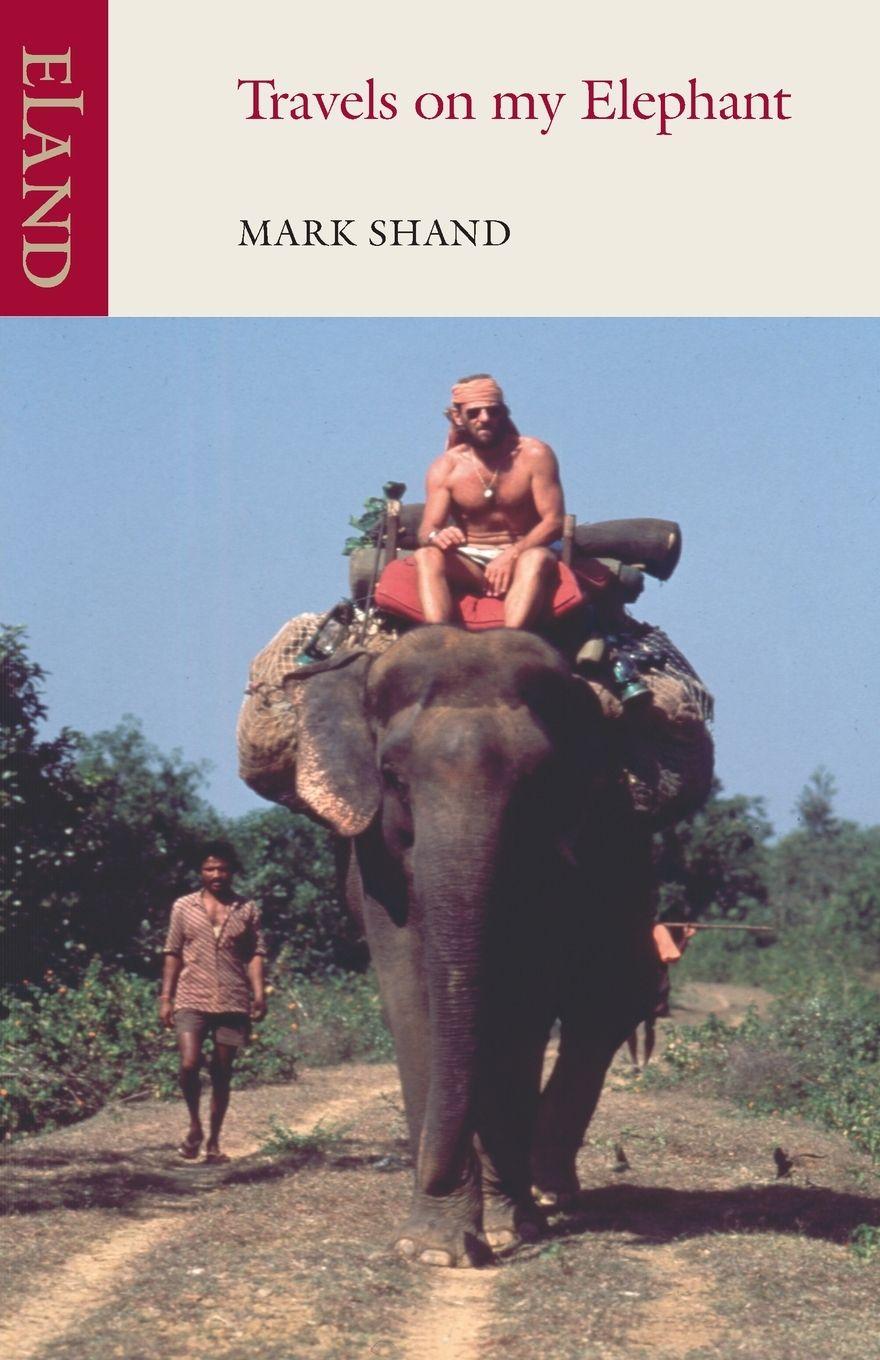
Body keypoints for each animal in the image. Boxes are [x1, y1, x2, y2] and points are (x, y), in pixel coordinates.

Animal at [249, 622, 665, 1267]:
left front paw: (502, 1228)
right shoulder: (375, 856)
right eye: (392, 777)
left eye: (538, 782)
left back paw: (546, 1193)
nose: (433, 1174)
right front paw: (434, 1247)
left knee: (605, 1005)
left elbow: (521, 999)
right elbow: (410, 986)